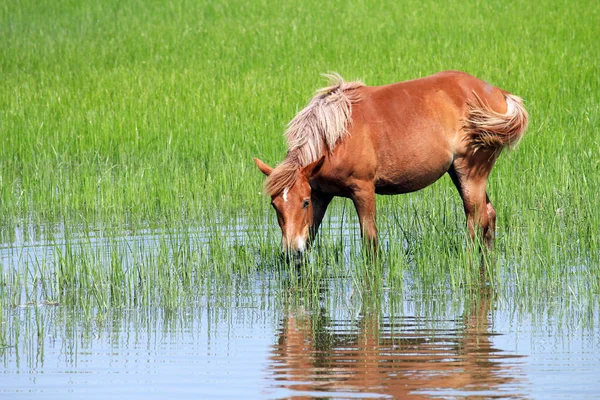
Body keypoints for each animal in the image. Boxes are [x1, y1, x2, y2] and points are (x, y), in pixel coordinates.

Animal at [255, 70, 528, 260]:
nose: (291, 253)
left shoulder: (363, 190)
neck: (336, 135)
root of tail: (498, 93)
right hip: (461, 174)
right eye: (275, 205)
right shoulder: (321, 194)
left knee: (476, 219)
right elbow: (310, 236)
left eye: (303, 202)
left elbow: (370, 242)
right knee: (489, 216)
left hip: (471, 172)